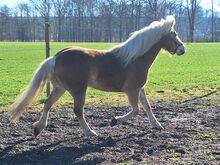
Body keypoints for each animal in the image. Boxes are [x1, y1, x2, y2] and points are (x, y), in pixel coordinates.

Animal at [9, 15, 186, 137]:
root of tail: (55, 58)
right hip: (78, 90)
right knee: (78, 111)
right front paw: (114, 121)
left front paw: (157, 125)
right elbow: (136, 110)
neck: (135, 58)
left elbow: (147, 106)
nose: (183, 49)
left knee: (47, 104)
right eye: (174, 35)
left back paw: (38, 128)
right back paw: (90, 132)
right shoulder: (132, 90)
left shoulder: (140, 88)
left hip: (60, 88)